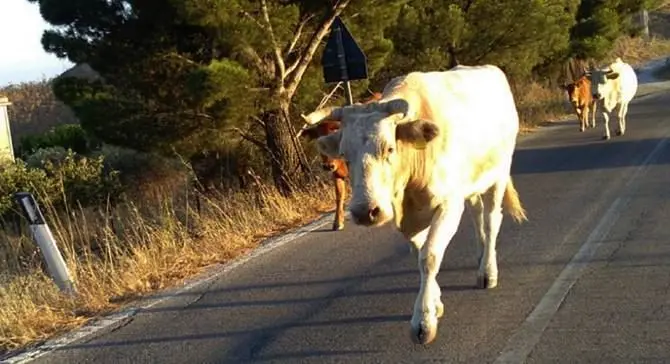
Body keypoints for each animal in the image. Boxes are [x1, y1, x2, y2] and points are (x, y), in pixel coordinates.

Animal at [300, 92, 384, 232]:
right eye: (318, 139)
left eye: (334, 134)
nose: (327, 166)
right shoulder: (337, 174)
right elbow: (339, 197)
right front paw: (338, 222)